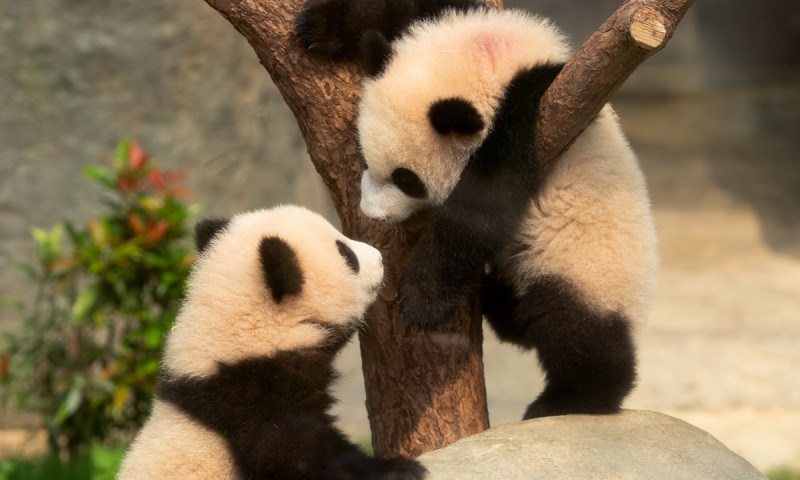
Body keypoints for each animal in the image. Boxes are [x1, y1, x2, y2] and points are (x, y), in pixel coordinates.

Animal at [296, 1, 658, 419]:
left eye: (407, 180)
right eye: (365, 154)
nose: (372, 214)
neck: (495, 59)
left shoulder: (538, 109)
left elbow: (484, 207)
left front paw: (421, 299)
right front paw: (319, 26)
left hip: (586, 267)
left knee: (575, 330)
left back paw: (570, 399)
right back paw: (497, 301)